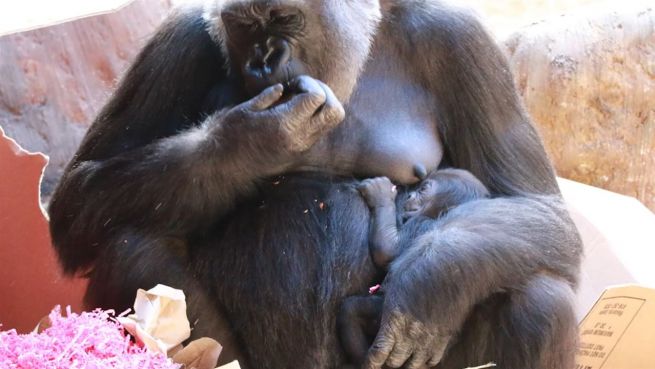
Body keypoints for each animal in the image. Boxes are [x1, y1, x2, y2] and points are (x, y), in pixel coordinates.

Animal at [340, 168, 490, 364]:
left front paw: (381, 194)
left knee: (351, 312)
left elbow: (388, 249)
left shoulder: (420, 223)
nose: (410, 194)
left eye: (423, 190)